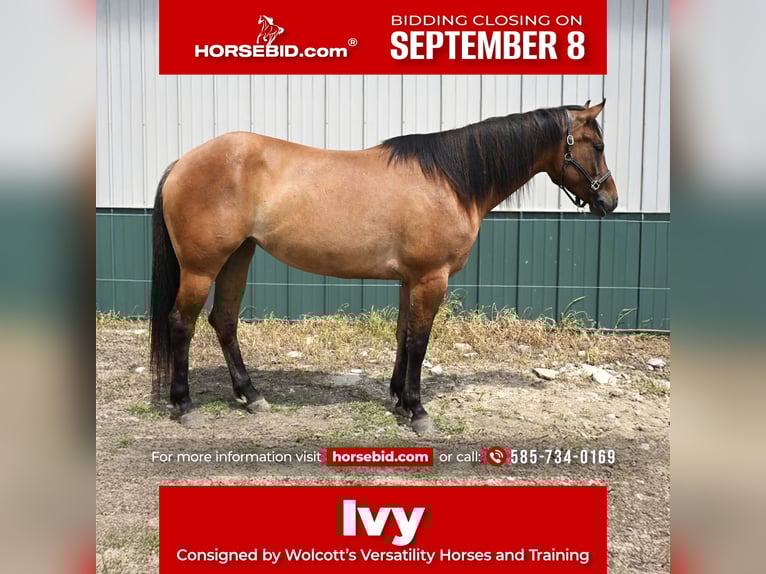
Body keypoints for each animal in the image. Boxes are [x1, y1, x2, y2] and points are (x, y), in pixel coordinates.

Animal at [149, 100, 617, 435]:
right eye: (597, 146)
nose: (609, 200)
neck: (450, 180)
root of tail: (181, 163)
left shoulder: (411, 280)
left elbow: (402, 336)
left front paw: (399, 399)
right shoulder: (431, 278)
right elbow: (419, 343)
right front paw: (419, 411)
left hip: (238, 257)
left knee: (224, 321)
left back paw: (252, 396)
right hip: (201, 267)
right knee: (182, 323)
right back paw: (185, 404)